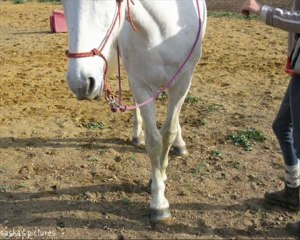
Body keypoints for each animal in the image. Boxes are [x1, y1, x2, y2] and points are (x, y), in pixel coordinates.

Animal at [61, 0, 206, 222]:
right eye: (63, 3)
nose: (80, 83)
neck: (160, 30)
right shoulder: (141, 83)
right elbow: (154, 141)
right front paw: (158, 200)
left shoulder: (182, 82)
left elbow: (169, 132)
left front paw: (161, 178)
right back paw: (137, 135)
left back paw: (179, 145)